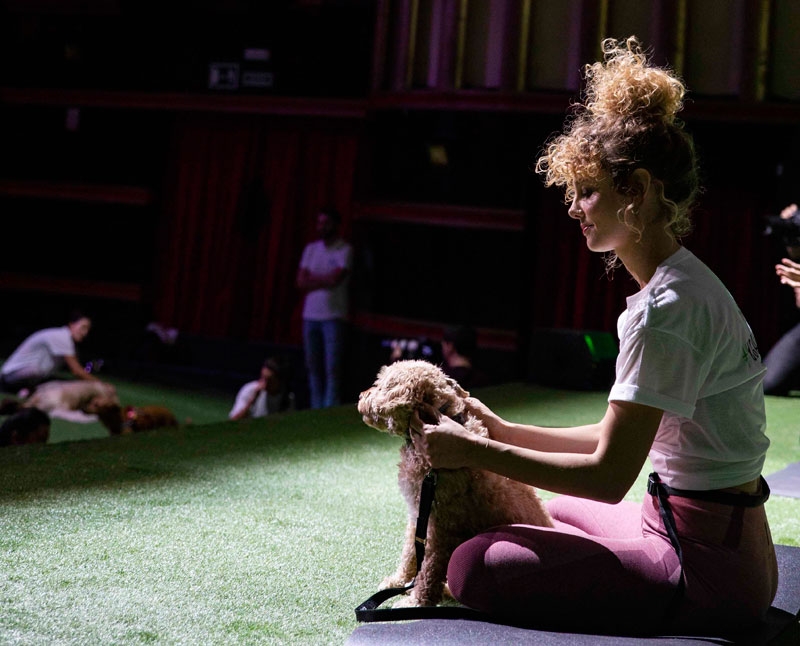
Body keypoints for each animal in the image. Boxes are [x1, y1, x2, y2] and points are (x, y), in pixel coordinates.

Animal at [360, 360, 552, 608]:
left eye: (380, 384)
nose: (361, 396)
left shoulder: (442, 526)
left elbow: (429, 568)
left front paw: (416, 601)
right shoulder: (419, 514)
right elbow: (410, 552)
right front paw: (398, 582)